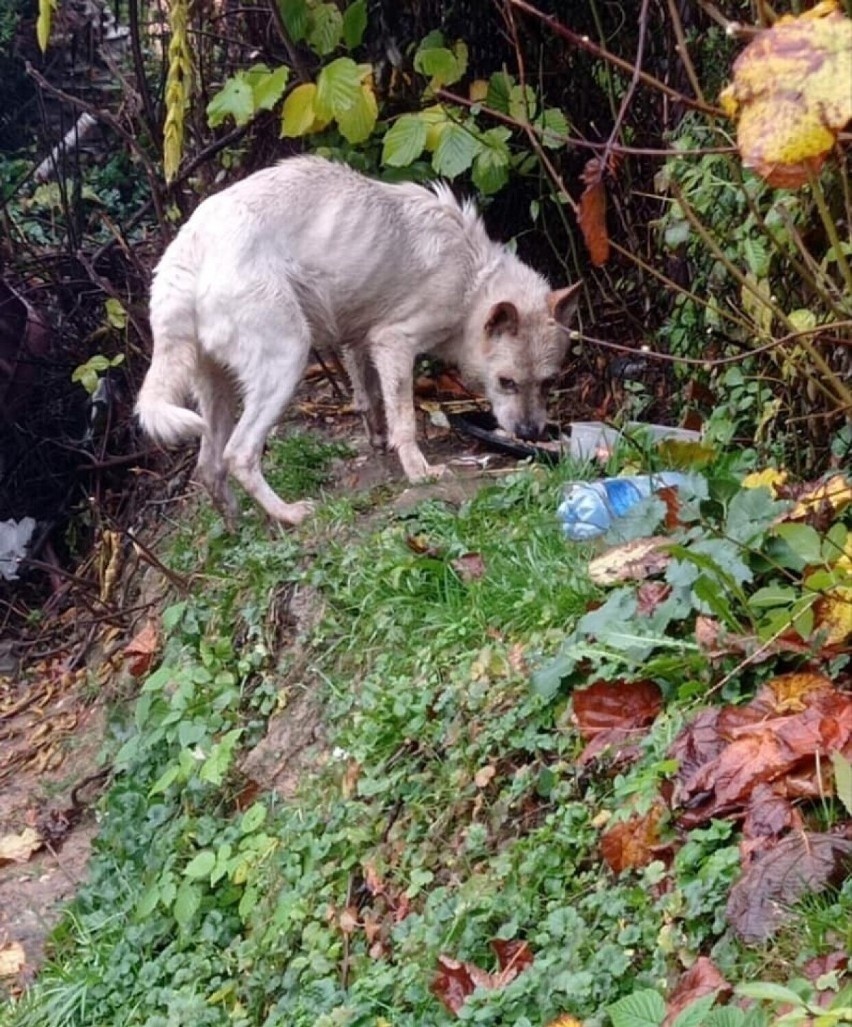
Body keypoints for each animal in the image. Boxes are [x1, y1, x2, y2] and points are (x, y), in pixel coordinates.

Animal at [136, 156, 583, 525]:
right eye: (507, 382)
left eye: (549, 382)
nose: (530, 434)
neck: (473, 278)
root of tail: (184, 251)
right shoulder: (394, 343)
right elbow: (405, 419)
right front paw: (419, 472)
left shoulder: (359, 341)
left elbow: (369, 400)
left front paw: (378, 441)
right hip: (286, 361)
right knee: (238, 455)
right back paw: (289, 515)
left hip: (219, 389)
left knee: (209, 465)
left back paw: (237, 527)